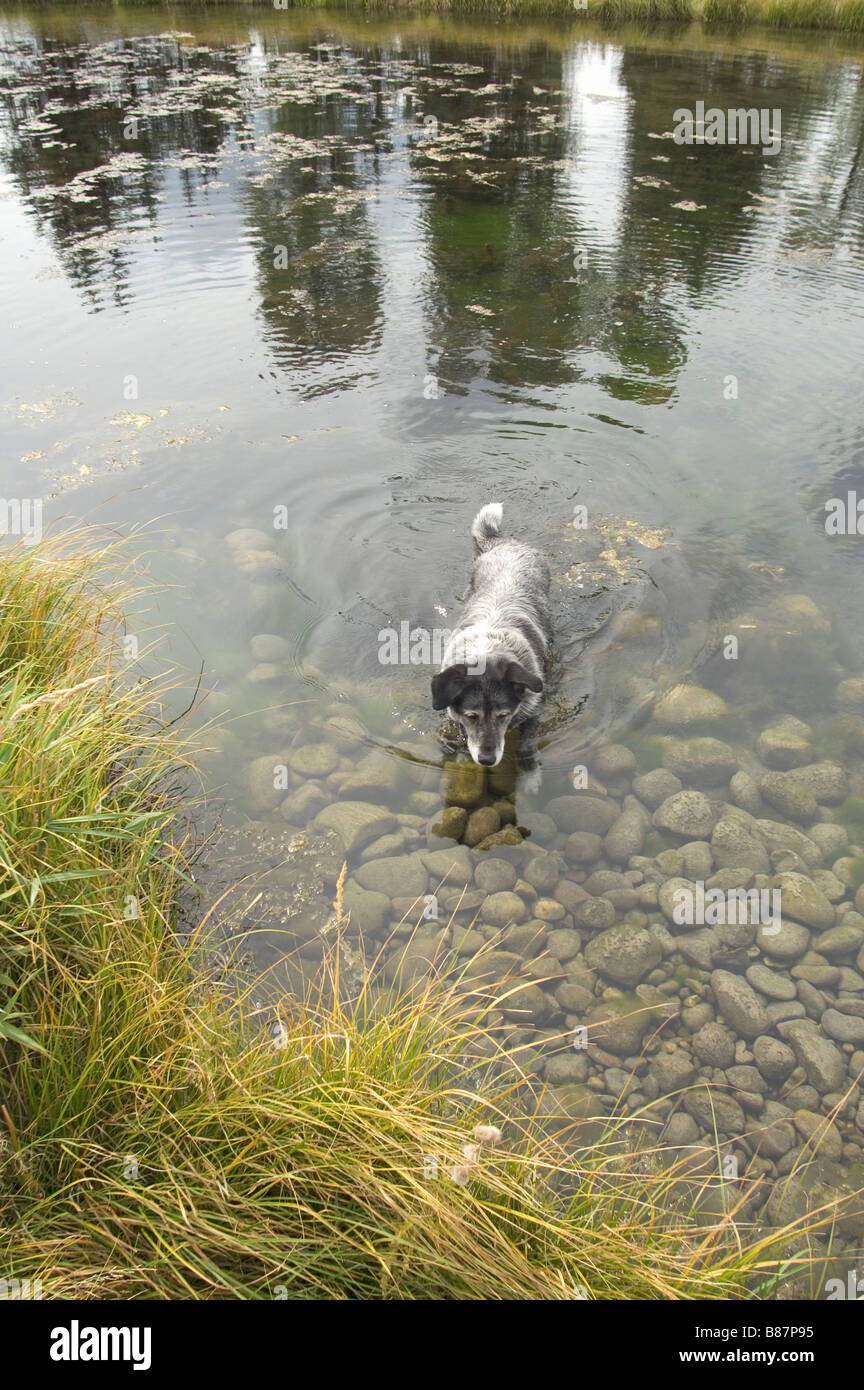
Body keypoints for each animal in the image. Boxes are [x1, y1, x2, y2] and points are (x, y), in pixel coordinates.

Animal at [430, 500, 552, 789]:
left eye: (503, 716)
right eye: (471, 716)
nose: (487, 760)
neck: (487, 652)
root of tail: (503, 543)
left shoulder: (536, 709)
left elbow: (527, 745)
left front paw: (529, 776)